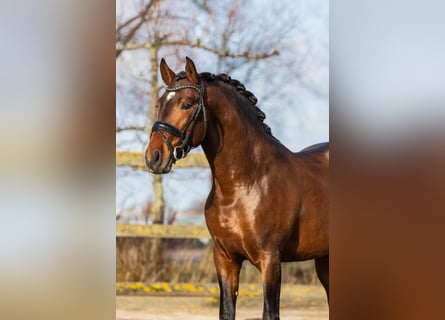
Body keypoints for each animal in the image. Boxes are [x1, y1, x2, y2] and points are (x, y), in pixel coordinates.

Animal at [144, 57, 328, 320]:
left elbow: (270, 313)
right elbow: (227, 311)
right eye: (159, 103)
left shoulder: (270, 260)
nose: (154, 157)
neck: (245, 184)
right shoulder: (225, 259)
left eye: (186, 104)